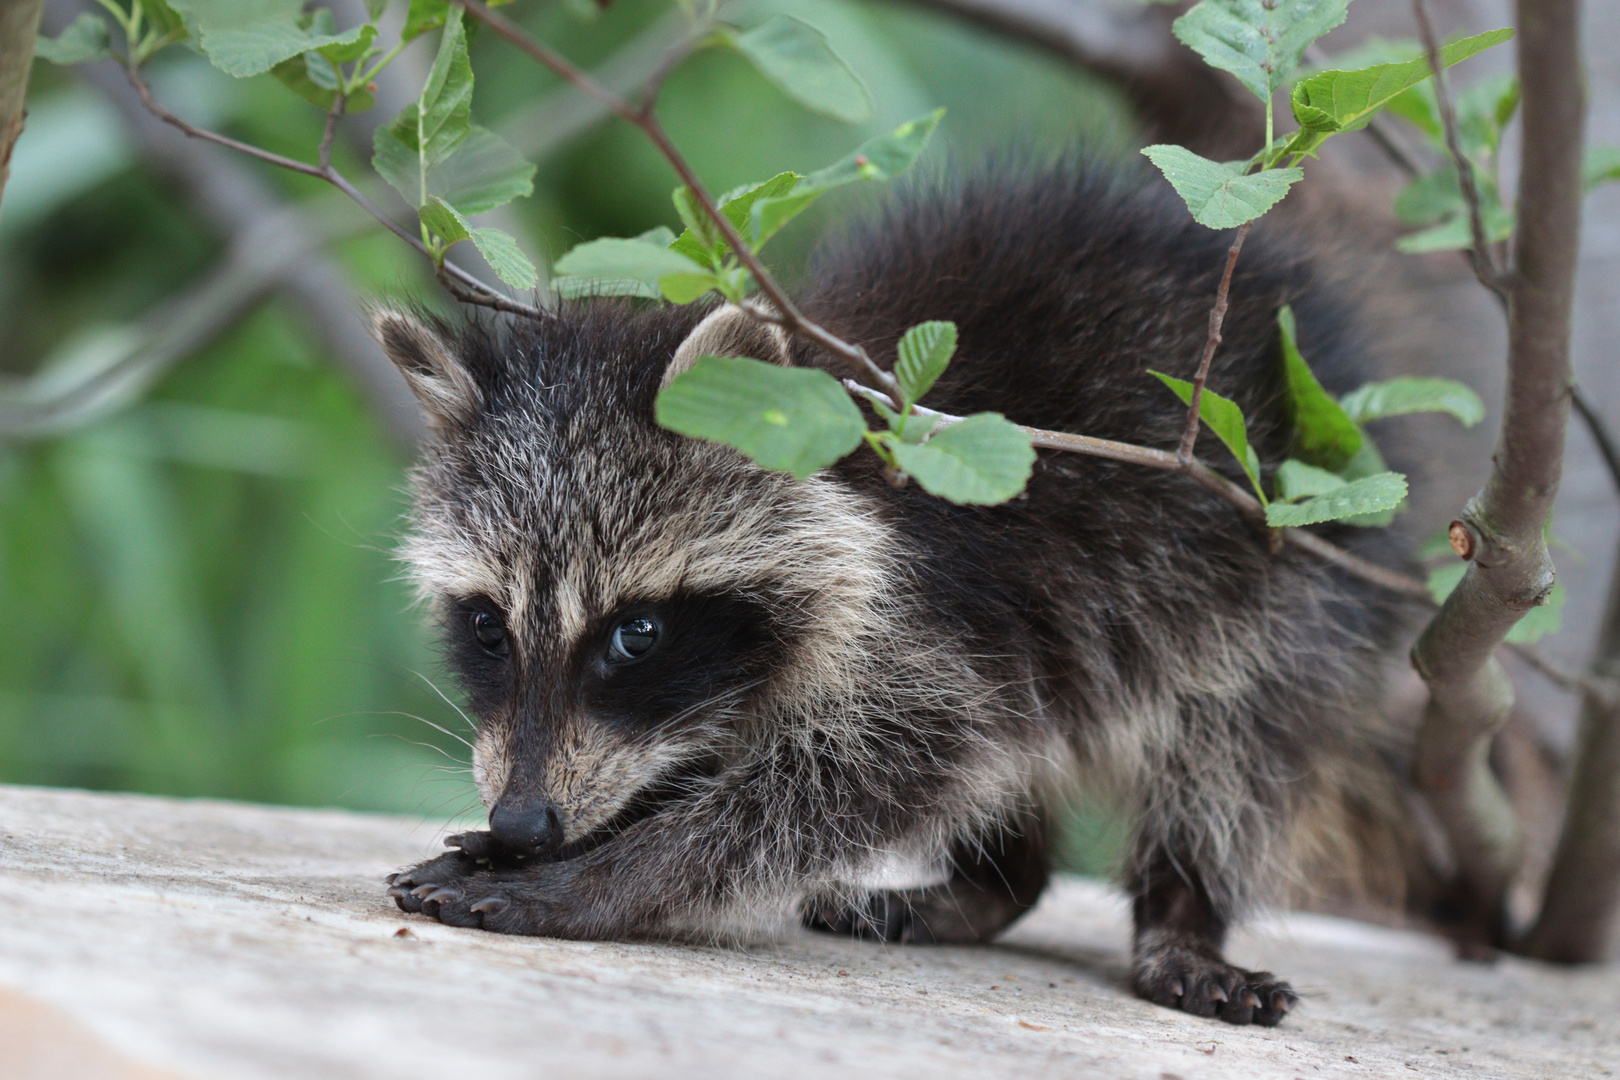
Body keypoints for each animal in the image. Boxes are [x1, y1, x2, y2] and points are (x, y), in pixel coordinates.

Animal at [385, 162, 1412, 1029]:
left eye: (635, 633)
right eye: (488, 626)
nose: (523, 820)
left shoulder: (923, 608)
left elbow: (869, 770)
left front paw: (602, 876)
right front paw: (584, 833)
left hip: (1275, 581)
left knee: (1226, 748)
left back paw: (1180, 912)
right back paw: (998, 883)